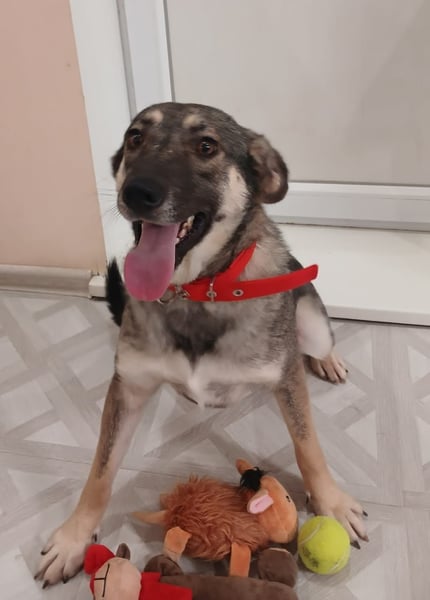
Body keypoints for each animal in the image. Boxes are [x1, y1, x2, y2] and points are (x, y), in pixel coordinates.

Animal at [36, 102, 367, 587]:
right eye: (135, 138)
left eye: (207, 146)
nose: (138, 193)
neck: (196, 291)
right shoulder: (128, 389)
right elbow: (100, 470)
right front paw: (74, 538)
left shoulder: (285, 376)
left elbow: (309, 447)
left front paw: (332, 503)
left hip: (312, 321)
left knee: (319, 343)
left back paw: (329, 361)